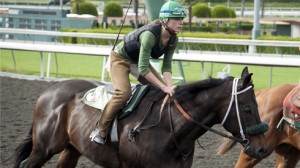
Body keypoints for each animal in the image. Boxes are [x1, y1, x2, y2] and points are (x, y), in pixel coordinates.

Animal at [6, 66, 268, 167]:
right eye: (247, 108)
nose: (263, 148)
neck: (171, 129)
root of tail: (50, 90)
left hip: (71, 149)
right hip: (44, 148)